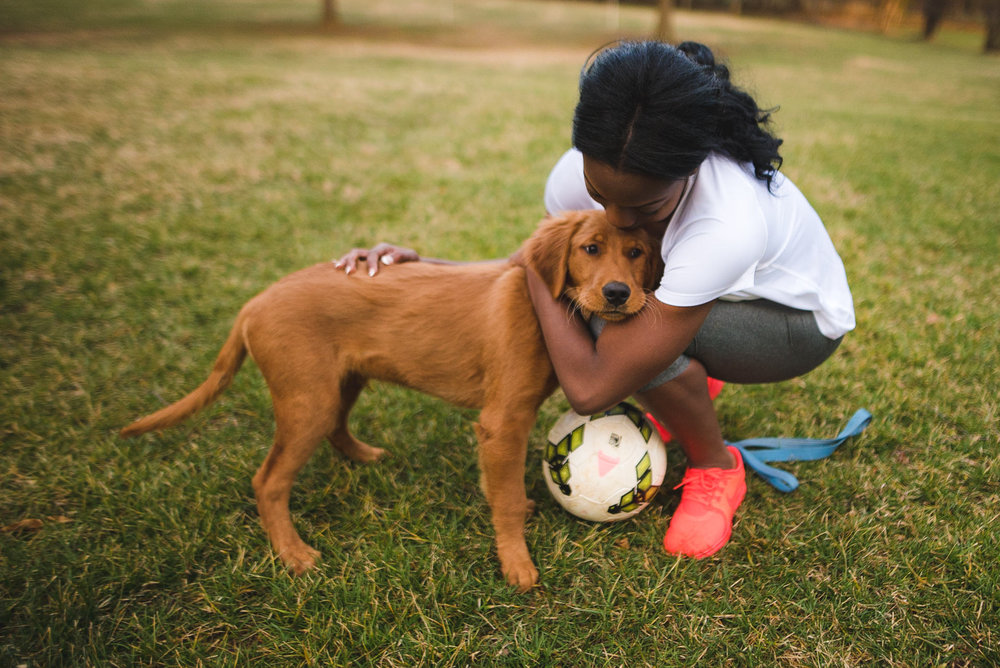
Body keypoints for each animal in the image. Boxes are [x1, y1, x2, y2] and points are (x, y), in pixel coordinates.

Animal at [121, 209, 660, 588]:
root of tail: (253, 303)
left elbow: (499, 486)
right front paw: (517, 564)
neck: (542, 304)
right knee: (268, 481)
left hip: (342, 379)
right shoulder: (503, 420)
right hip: (307, 398)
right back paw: (293, 554)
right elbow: (504, 499)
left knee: (336, 427)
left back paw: (363, 457)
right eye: (590, 248)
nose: (618, 293)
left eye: (636, 252)